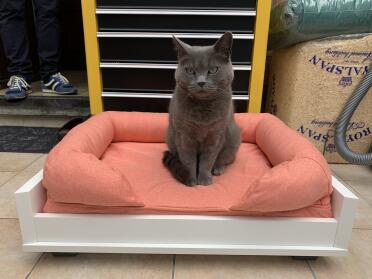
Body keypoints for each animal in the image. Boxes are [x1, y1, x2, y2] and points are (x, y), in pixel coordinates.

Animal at [163, 31, 241, 187]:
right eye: (190, 71)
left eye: (213, 70)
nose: (201, 82)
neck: (203, 108)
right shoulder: (184, 135)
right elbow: (188, 160)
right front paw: (191, 180)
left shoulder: (216, 134)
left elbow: (208, 159)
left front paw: (204, 180)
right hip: (170, 137)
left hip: (233, 138)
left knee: (225, 159)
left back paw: (218, 169)